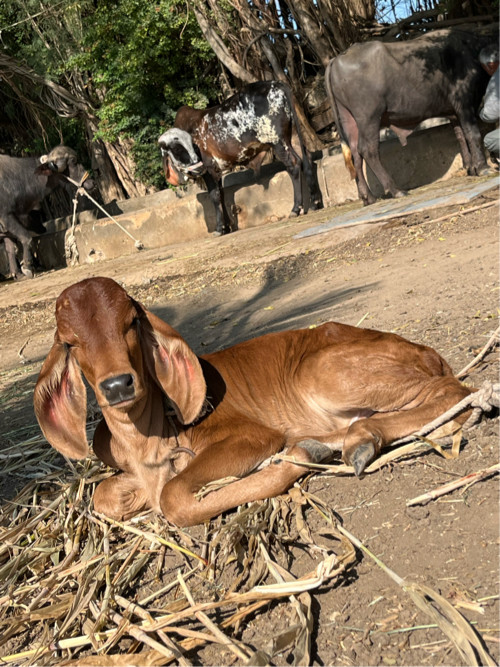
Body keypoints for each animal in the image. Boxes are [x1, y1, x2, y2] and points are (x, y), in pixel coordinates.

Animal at [0, 146, 94, 280]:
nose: (92, 182)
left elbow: (10, 249)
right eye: (73, 161)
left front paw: (18, 274)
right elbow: (26, 237)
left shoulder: (9, 225)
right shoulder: (6, 216)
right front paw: (27, 268)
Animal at [33, 276, 470, 528]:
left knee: (454, 393)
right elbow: (105, 496)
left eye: (131, 322)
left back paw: (357, 441)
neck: (148, 440)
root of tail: (428, 352)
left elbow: (173, 498)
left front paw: (294, 459)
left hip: (323, 371)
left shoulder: (252, 437)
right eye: (70, 342)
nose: (118, 385)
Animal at [324, 27, 496, 206]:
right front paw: (482, 168)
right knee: (367, 150)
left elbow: (460, 136)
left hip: (349, 120)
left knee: (355, 155)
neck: (471, 51)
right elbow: (473, 134)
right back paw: (396, 190)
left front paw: (470, 167)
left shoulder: (454, 112)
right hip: (369, 118)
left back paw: (368, 197)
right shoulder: (464, 104)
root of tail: (337, 59)